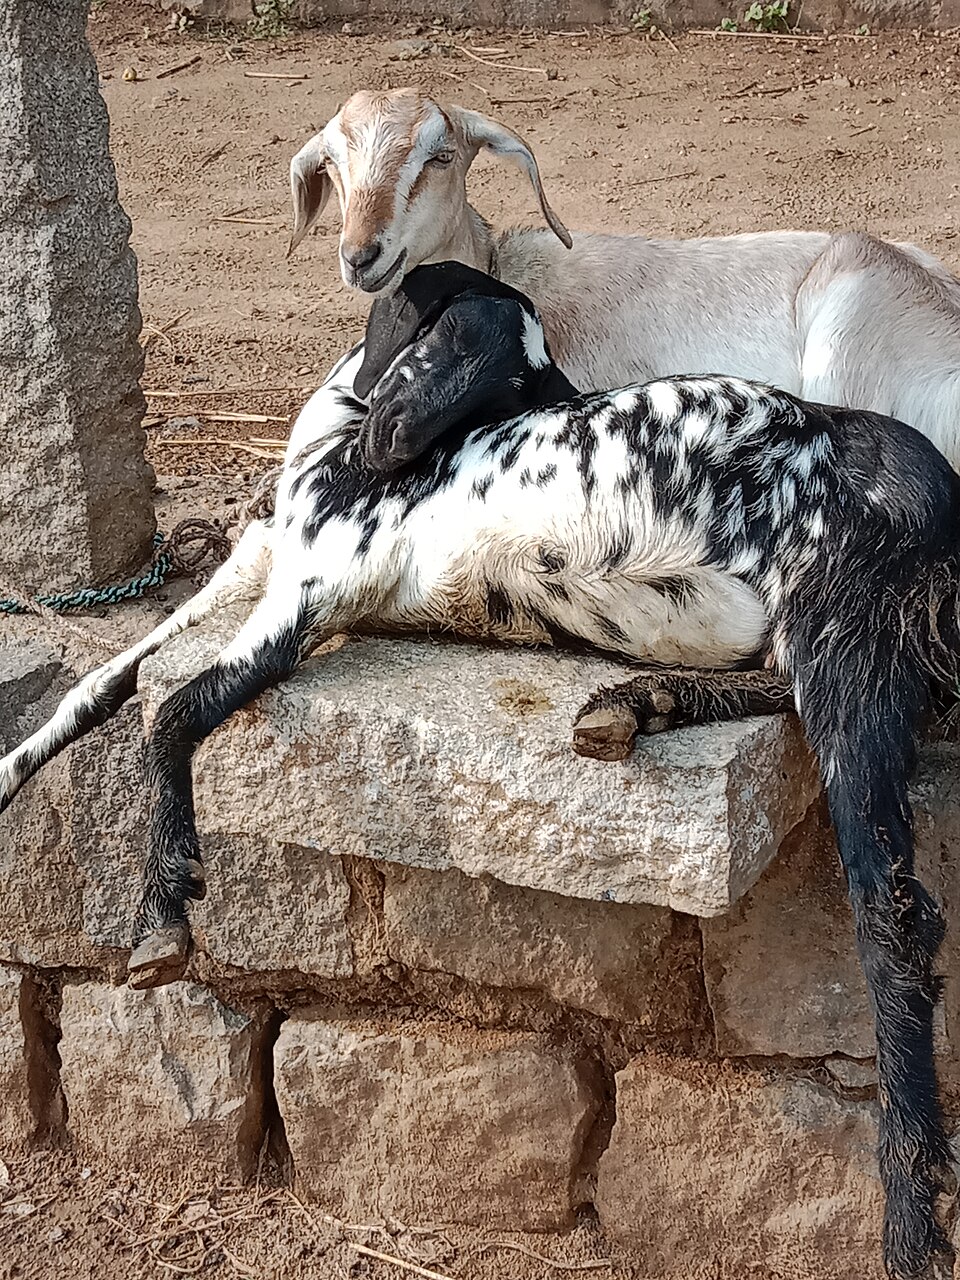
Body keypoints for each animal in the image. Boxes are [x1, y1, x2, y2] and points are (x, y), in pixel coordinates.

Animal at [2, 262, 958, 1280]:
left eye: (507, 376)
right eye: (462, 337)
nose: (388, 449)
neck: (332, 438)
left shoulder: (314, 589)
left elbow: (174, 714)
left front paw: (161, 912)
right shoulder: (254, 578)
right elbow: (104, 684)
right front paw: (12, 773)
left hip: (849, 638)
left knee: (894, 921)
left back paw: (912, 1223)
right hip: (820, 645)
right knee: (775, 695)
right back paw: (638, 703)